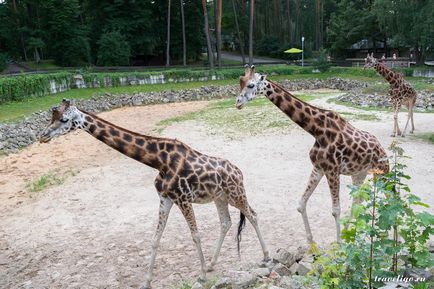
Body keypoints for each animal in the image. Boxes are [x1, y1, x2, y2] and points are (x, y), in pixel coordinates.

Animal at [39, 99, 270, 288]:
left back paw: (266, 257)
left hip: (235, 194)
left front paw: (202, 276)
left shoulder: (183, 198)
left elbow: (195, 235)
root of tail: (239, 172)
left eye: (64, 119)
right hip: (220, 197)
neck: (158, 161)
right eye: (51, 117)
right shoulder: (165, 198)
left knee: (253, 214)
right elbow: (155, 239)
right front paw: (147, 281)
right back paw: (213, 263)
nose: (42, 136)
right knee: (226, 222)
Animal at [237, 66, 390, 243]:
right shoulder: (319, 167)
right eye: (240, 83)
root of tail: (382, 148)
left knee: (391, 198)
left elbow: (336, 210)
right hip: (359, 173)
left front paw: (339, 244)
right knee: (358, 200)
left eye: (251, 85)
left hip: (382, 172)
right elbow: (301, 204)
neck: (316, 130)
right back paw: (352, 233)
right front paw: (311, 242)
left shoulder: (332, 170)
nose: (237, 103)